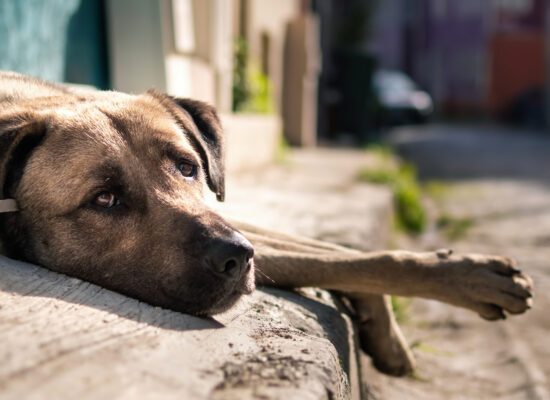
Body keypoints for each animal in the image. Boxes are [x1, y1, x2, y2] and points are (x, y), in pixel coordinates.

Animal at [0, 71, 536, 376]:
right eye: (105, 199)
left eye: (187, 167)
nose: (237, 258)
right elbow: (340, 259)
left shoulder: (229, 216)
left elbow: (340, 253)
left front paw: (454, 281)